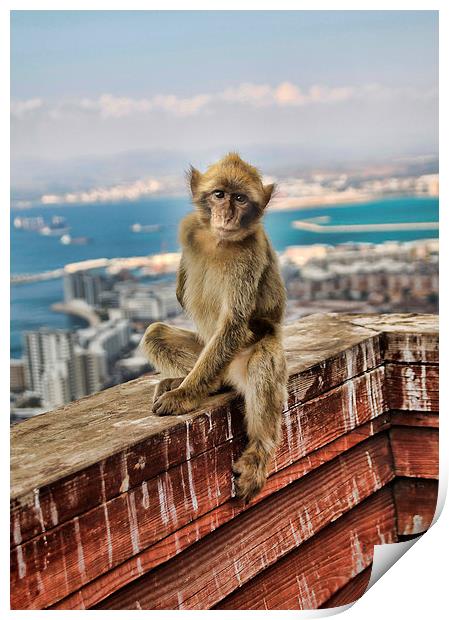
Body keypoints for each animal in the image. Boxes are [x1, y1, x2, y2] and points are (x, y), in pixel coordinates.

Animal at [145, 154, 288, 498]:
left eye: (240, 198)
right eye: (219, 195)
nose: (227, 213)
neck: (219, 240)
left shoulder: (250, 252)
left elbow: (234, 325)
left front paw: (184, 395)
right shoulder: (190, 231)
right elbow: (180, 295)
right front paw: (182, 388)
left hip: (239, 357)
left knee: (262, 360)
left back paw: (258, 450)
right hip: (209, 359)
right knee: (156, 334)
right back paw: (202, 384)